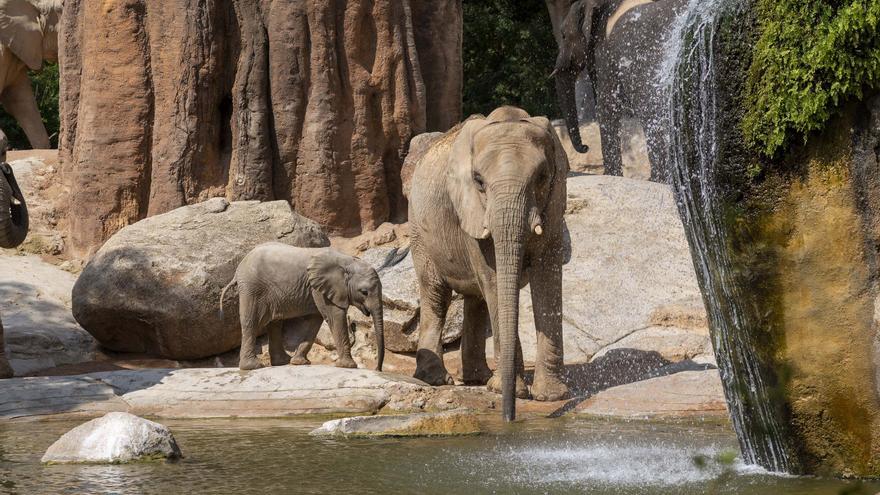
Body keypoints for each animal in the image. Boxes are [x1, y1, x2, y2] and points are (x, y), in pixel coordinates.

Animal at [220, 244, 384, 372]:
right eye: (364, 292)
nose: (377, 369)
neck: (347, 261)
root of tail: (238, 269)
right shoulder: (322, 288)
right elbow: (335, 316)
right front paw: (349, 366)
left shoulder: (317, 288)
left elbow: (316, 320)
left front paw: (299, 362)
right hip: (252, 288)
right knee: (252, 322)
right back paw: (253, 367)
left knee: (274, 323)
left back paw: (282, 362)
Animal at [408, 106, 572, 420]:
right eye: (479, 180)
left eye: (542, 177)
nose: (509, 417)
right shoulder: (470, 210)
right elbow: (494, 280)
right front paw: (509, 391)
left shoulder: (554, 203)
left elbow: (547, 279)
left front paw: (550, 396)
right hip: (419, 232)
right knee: (436, 293)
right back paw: (438, 379)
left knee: (476, 298)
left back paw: (478, 378)